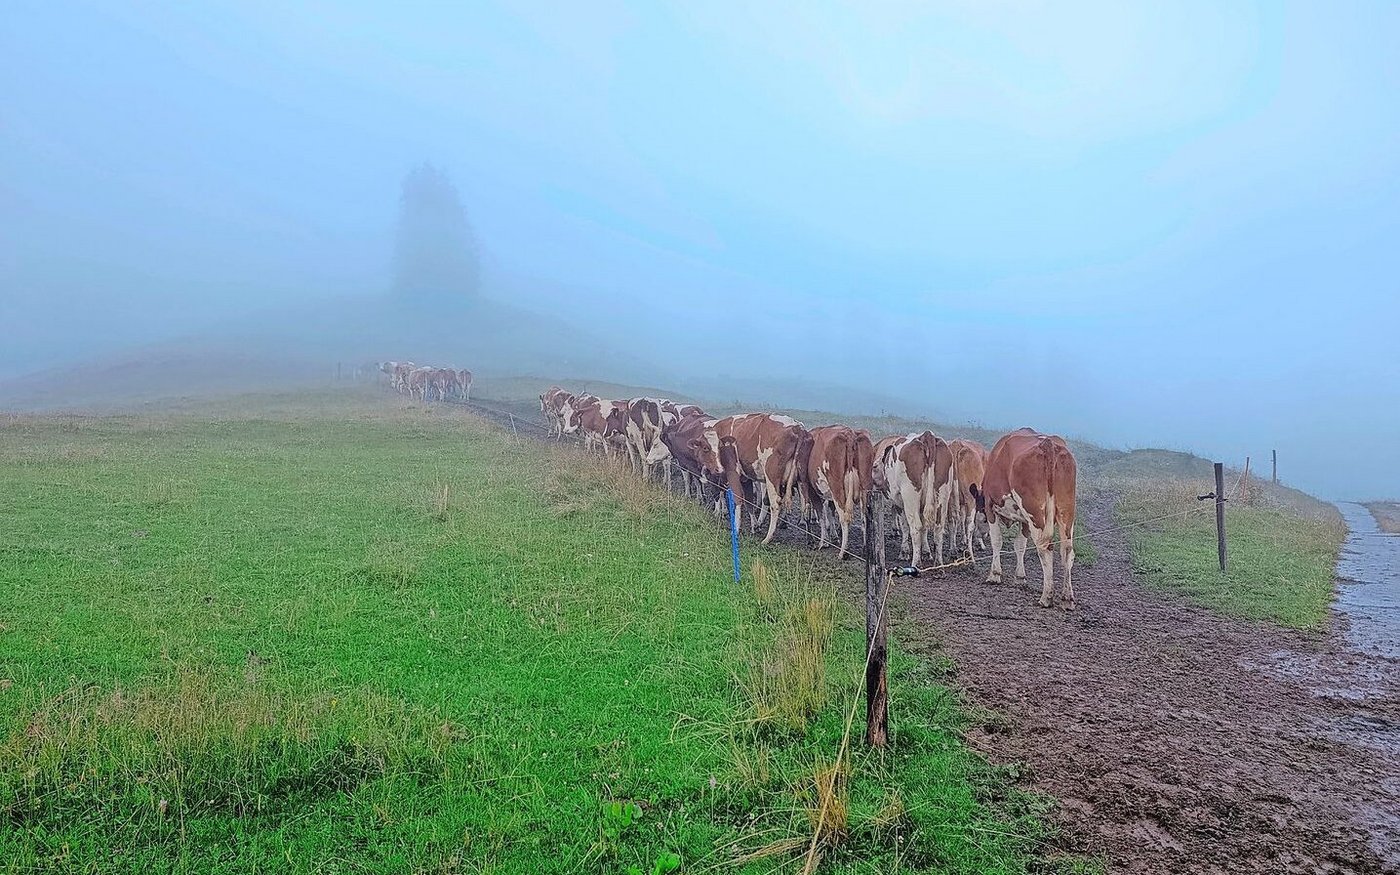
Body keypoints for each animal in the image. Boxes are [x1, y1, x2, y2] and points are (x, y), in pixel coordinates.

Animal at [797, 425, 874, 558]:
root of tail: (850, 434)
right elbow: (830, 513)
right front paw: (832, 537)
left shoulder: (811, 489)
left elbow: (818, 513)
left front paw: (822, 542)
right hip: (865, 488)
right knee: (864, 518)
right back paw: (864, 551)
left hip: (837, 488)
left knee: (844, 517)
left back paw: (843, 552)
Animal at [872, 431, 954, 569]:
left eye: (874, 467)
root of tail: (926, 436)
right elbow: (925, 529)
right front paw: (926, 552)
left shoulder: (899, 501)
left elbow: (905, 526)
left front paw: (904, 552)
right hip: (942, 496)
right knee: (938, 528)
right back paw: (938, 563)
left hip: (910, 496)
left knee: (915, 527)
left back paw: (916, 563)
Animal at [969, 428, 1078, 609]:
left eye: (980, 515)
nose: (977, 534)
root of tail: (1048, 445)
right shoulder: (1025, 521)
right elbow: (1020, 545)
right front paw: (1020, 577)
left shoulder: (991, 507)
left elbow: (997, 541)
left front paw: (995, 574)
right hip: (1066, 510)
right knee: (1067, 550)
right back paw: (1067, 598)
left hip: (1035, 512)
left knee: (1045, 547)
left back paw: (1046, 596)